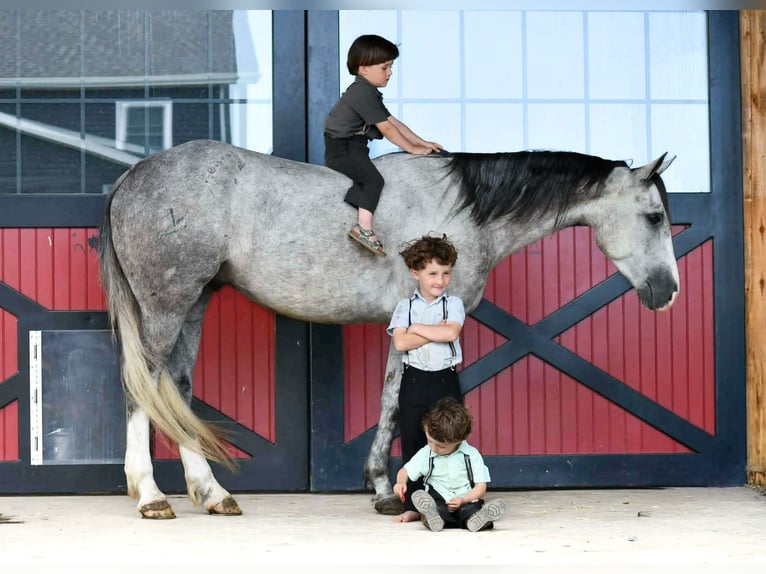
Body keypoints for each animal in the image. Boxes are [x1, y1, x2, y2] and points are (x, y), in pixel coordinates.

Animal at [97, 139, 678, 519]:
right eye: (654, 217)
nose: (668, 292)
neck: (461, 212)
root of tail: (133, 175)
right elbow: (403, 400)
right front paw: (392, 486)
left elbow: (390, 397)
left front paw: (379, 483)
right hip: (167, 305)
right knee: (142, 387)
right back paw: (150, 495)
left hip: (194, 302)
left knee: (176, 389)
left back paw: (211, 493)